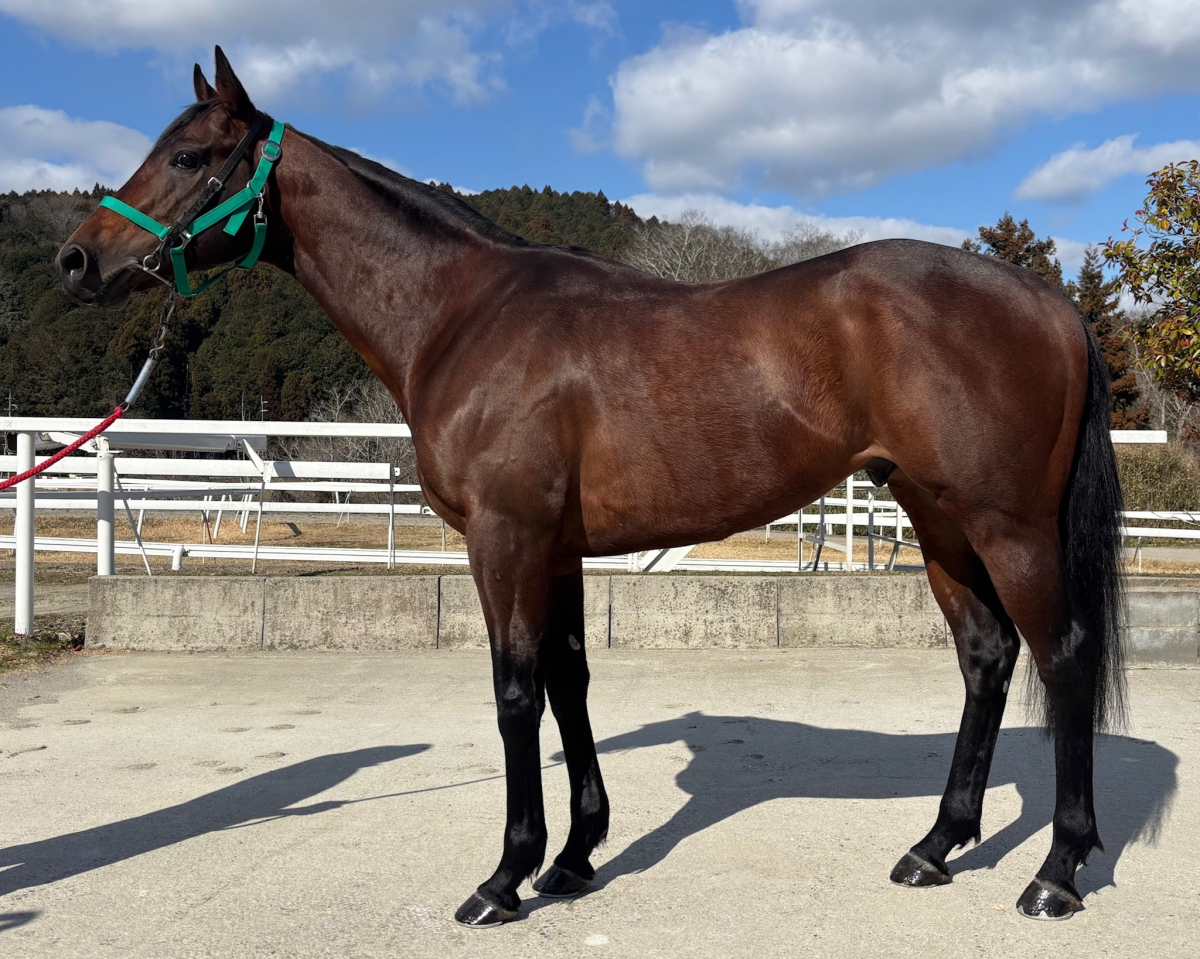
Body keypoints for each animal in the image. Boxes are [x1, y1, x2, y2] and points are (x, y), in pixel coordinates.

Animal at [58, 48, 1126, 927]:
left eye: (190, 156)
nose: (78, 260)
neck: (463, 314)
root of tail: (1051, 302)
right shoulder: (558, 545)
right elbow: (569, 680)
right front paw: (574, 857)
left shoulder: (505, 537)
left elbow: (514, 691)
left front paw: (505, 876)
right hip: (938, 519)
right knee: (987, 657)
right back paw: (936, 846)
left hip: (1007, 526)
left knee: (1063, 656)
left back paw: (1057, 872)